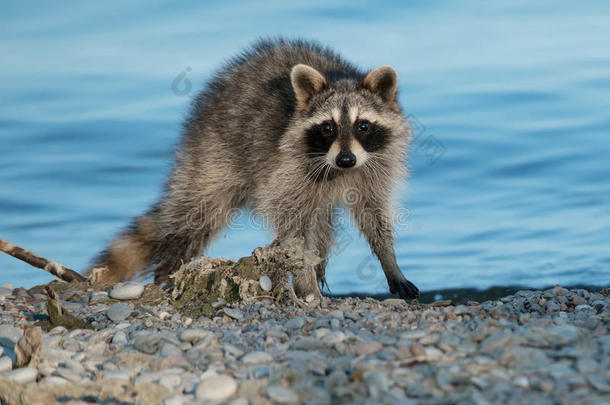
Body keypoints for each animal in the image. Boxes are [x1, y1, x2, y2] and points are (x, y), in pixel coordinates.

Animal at [89, 39, 418, 298]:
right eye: (328, 127)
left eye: (363, 125)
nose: (346, 159)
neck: (341, 169)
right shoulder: (288, 169)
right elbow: (292, 226)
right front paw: (304, 280)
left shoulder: (375, 168)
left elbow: (374, 215)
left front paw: (390, 260)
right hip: (214, 153)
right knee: (194, 215)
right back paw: (169, 268)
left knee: (321, 220)